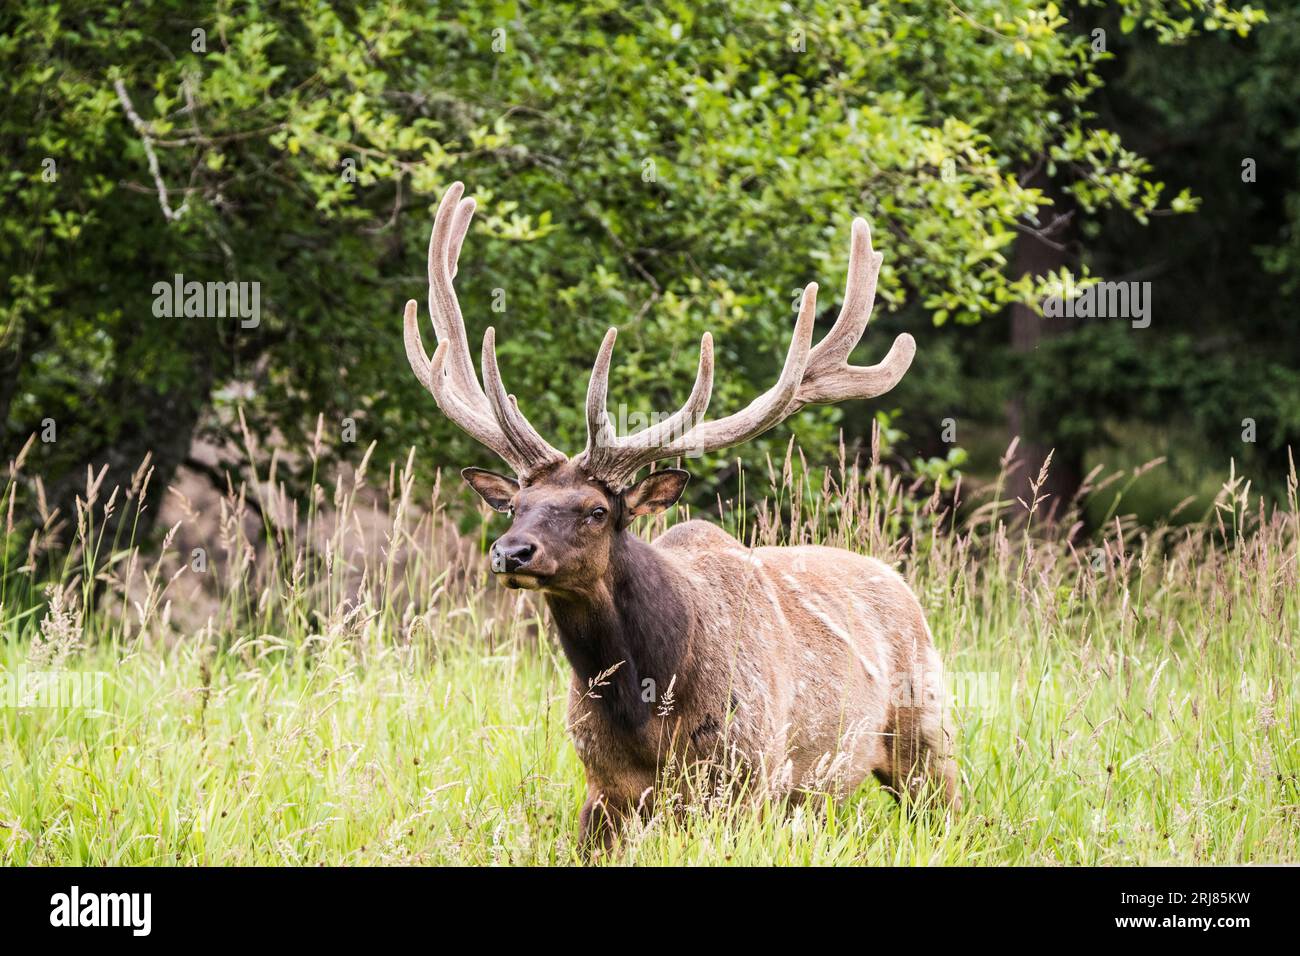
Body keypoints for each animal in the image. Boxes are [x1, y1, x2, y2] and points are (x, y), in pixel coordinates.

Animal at [403, 183, 956, 848]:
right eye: (514, 505)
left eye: (596, 510)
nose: (512, 552)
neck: (649, 707)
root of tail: (900, 582)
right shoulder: (604, 789)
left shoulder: (744, 779)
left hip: (926, 731)